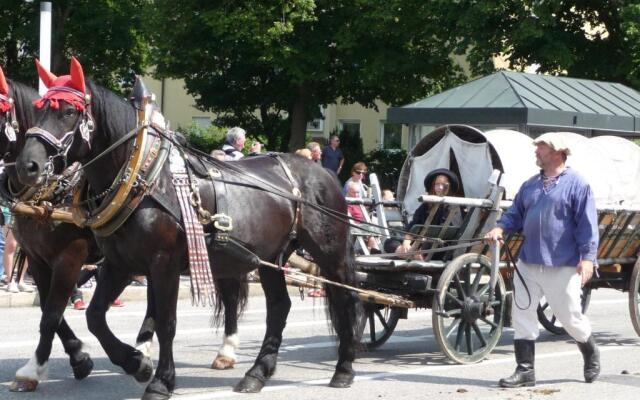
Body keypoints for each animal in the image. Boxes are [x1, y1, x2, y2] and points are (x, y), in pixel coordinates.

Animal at [15, 57, 360, 398]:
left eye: (68, 112)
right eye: (38, 109)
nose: (27, 166)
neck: (144, 177)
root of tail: (323, 172)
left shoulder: (157, 263)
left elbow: (165, 323)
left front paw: (160, 381)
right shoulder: (117, 264)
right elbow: (93, 316)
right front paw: (135, 362)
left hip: (329, 253)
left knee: (345, 299)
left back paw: (343, 368)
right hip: (270, 257)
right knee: (278, 307)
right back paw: (257, 373)